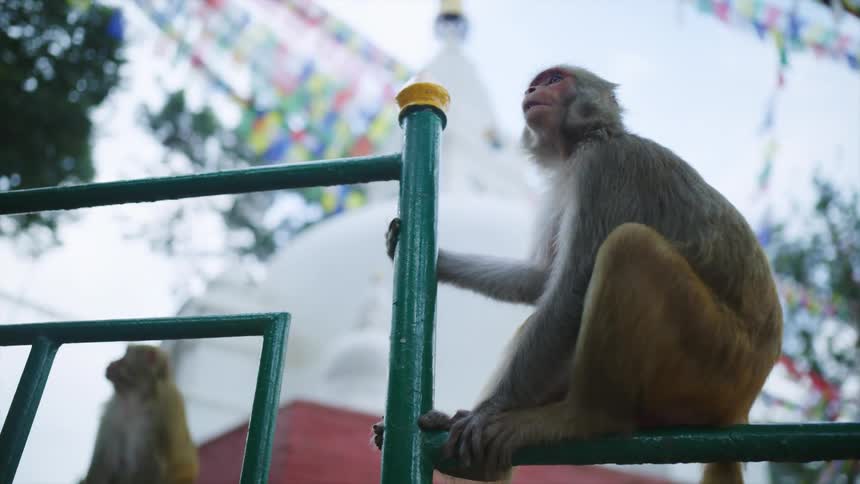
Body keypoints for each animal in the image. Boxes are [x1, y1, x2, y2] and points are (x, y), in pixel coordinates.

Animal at [81, 344, 198, 484]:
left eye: (126, 356)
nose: (113, 362)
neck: (135, 398)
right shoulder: (112, 412)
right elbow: (103, 463)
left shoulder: (160, 414)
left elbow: (151, 465)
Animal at [372, 65, 783, 484]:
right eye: (537, 83)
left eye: (555, 80)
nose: (532, 91)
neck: (585, 140)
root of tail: (740, 409)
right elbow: (539, 281)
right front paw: (437, 258)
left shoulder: (602, 168)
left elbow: (571, 288)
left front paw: (488, 410)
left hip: (713, 363)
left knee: (630, 247)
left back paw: (582, 419)